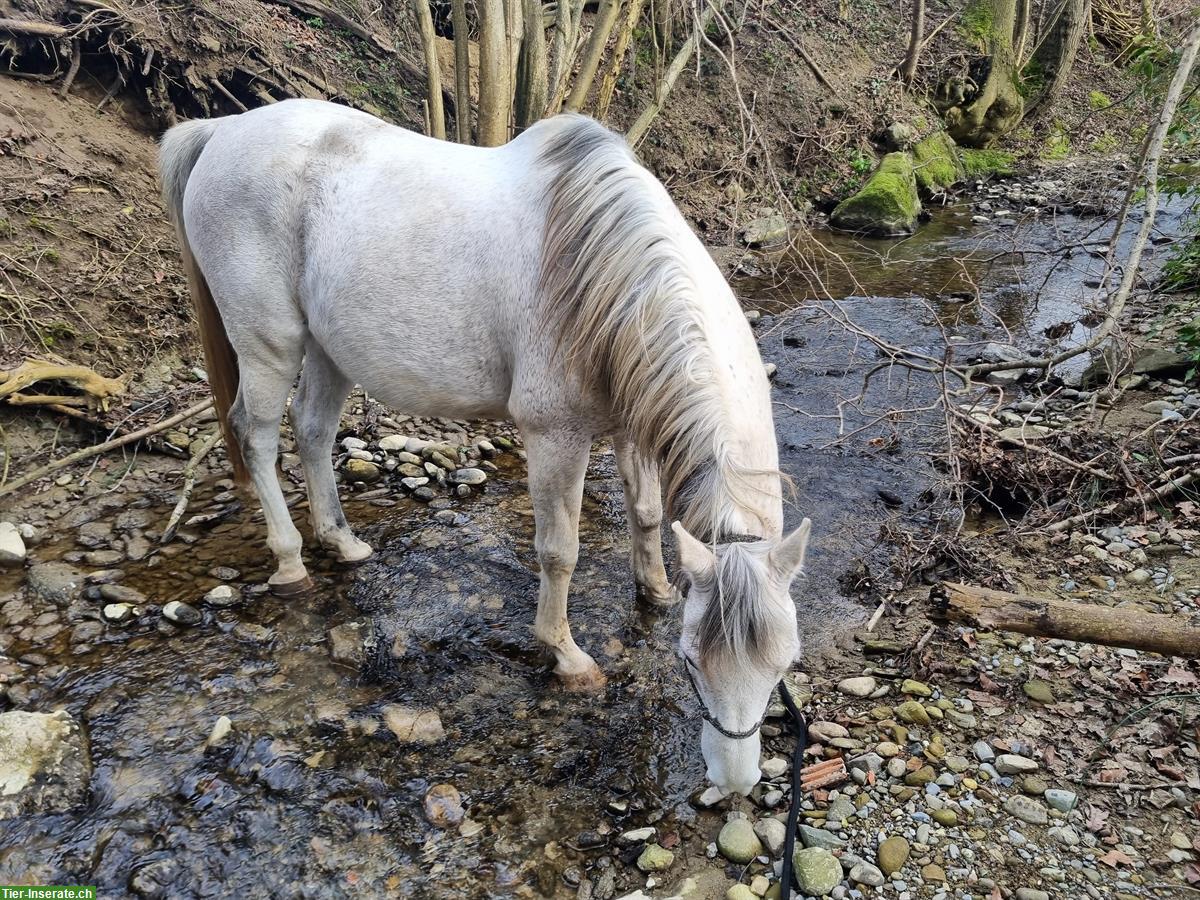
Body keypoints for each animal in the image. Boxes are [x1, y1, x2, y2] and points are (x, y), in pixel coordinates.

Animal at [159, 98, 811, 796]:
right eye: (691, 659)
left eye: (784, 662)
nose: (736, 782)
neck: (603, 272)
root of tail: (222, 130)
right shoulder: (556, 436)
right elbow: (560, 552)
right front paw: (566, 655)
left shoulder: (631, 422)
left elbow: (646, 513)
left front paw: (657, 592)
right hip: (269, 343)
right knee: (255, 435)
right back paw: (291, 562)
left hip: (329, 347)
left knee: (312, 429)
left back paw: (342, 541)